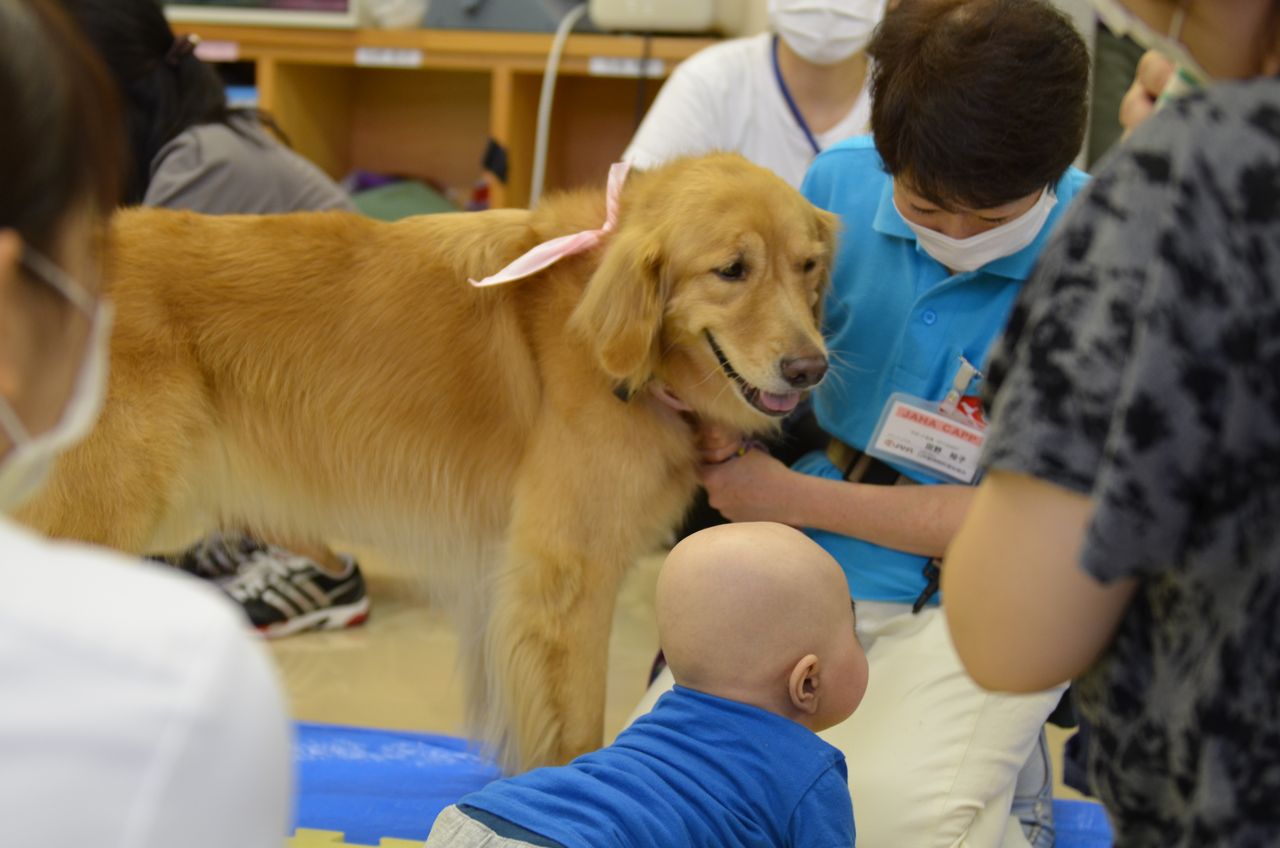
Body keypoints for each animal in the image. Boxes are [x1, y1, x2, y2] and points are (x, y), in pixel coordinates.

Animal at [22, 151, 839, 768]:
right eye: (731, 270)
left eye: (807, 268)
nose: (811, 369)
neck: (607, 333)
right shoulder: (567, 581)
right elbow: (575, 729)